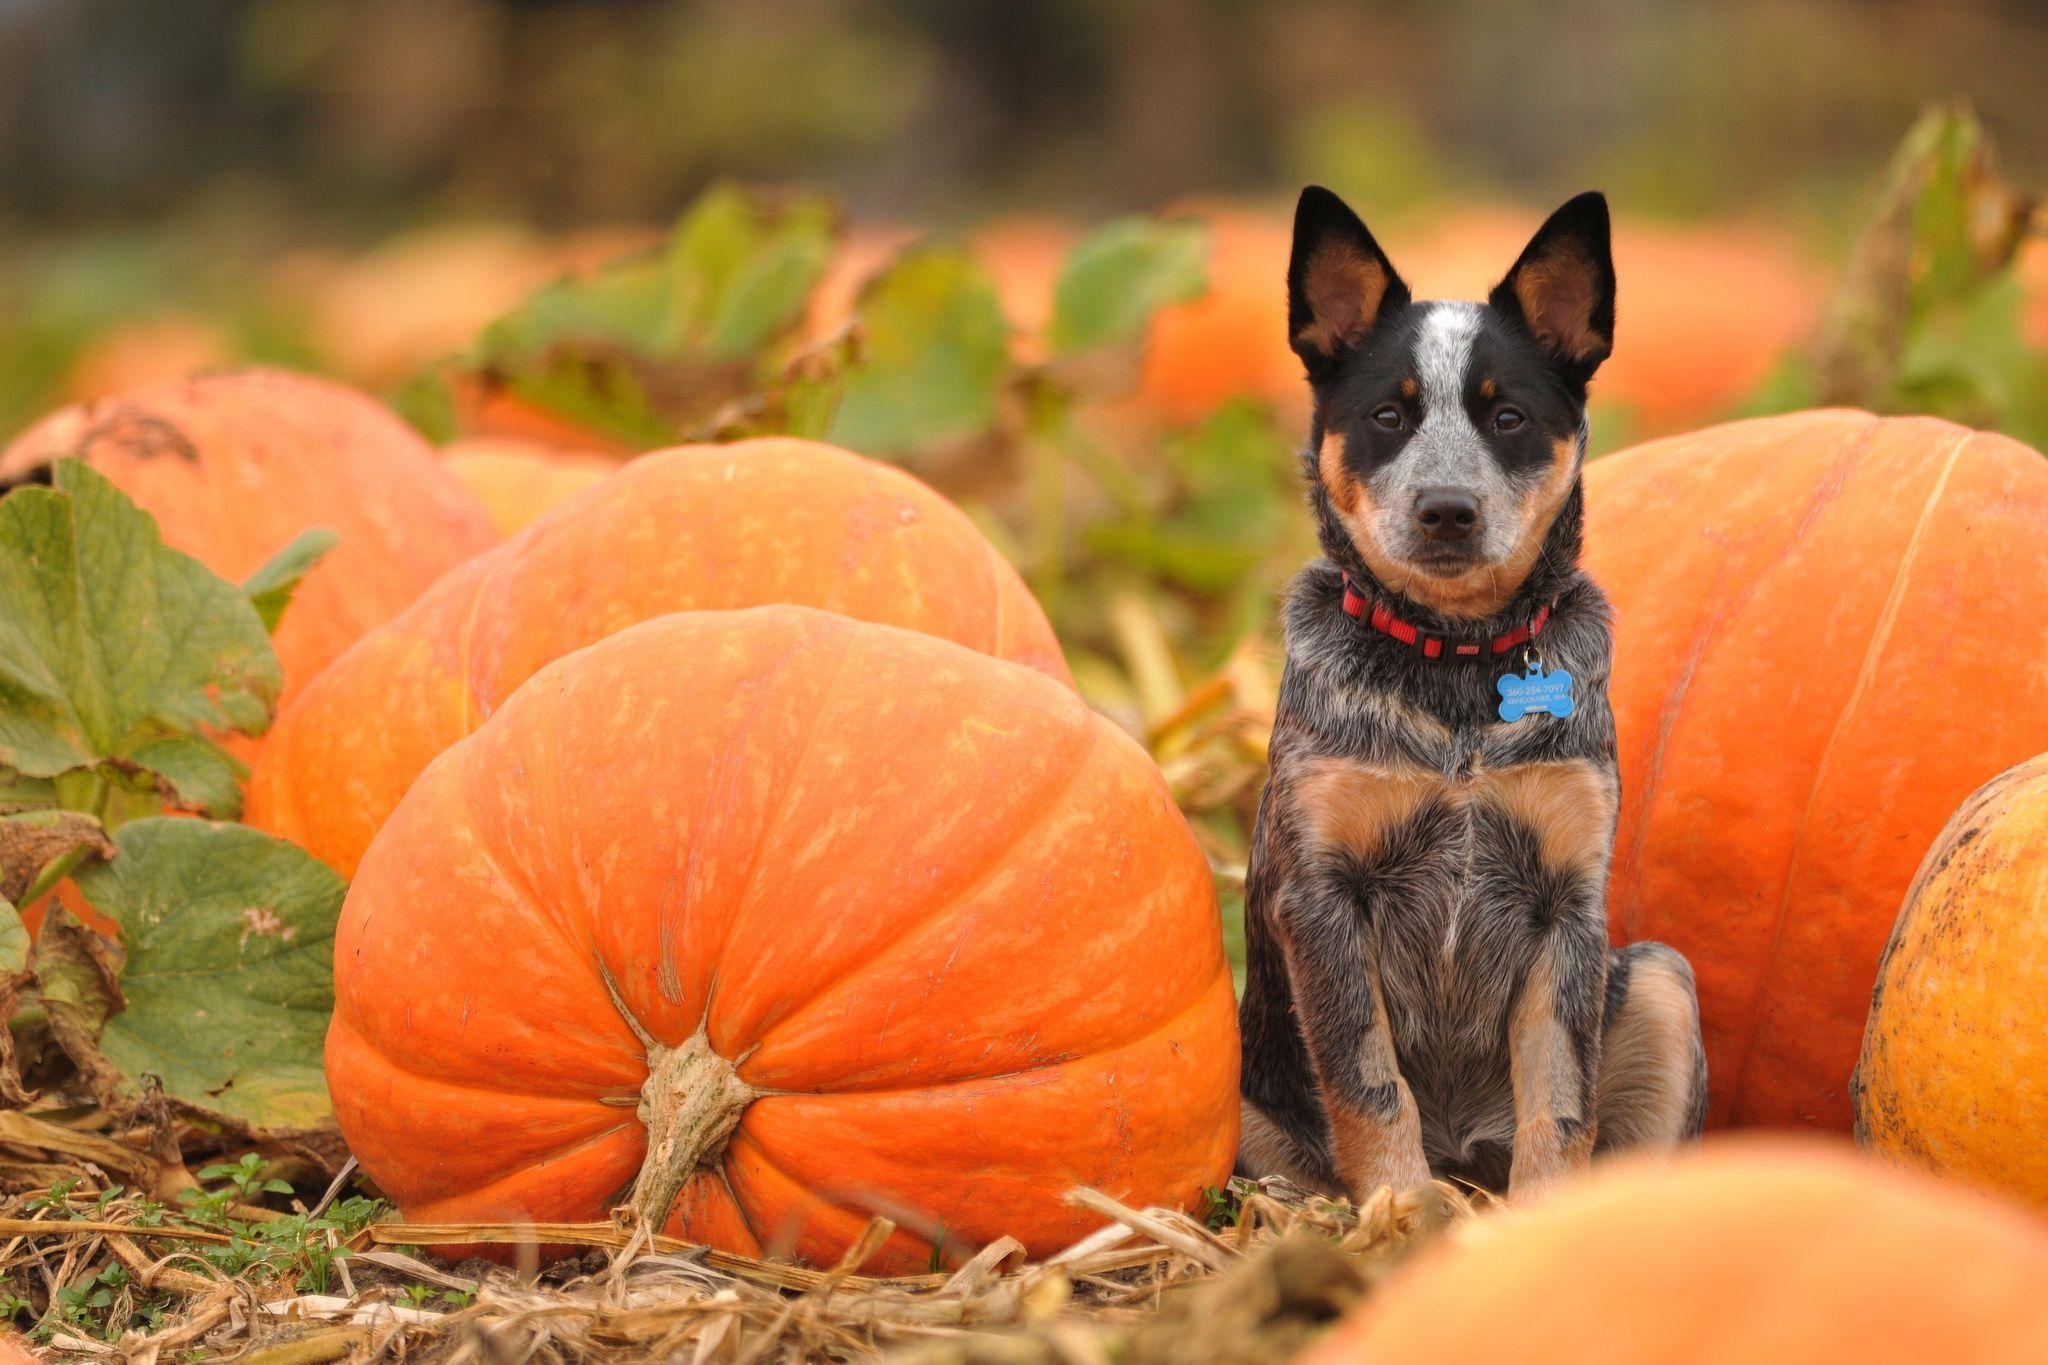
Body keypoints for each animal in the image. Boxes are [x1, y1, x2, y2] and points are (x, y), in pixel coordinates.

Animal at [1228, 189, 1712, 1195]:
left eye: (1509, 417)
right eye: (1387, 414)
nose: (1446, 508)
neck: (1455, 661)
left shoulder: (1566, 902)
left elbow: (1560, 1098)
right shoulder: (1325, 895)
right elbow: (1368, 1080)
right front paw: (1401, 1207)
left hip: (1657, 980)